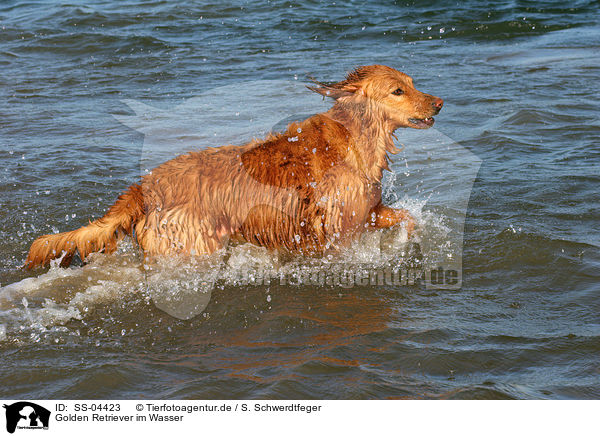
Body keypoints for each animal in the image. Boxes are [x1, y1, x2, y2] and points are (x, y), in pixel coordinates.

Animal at [25, 64, 442, 270]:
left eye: (412, 82)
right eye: (398, 91)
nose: (439, 102)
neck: (357, 136)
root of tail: (143, 187)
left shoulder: (368, 210)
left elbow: (407, 218)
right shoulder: (339, 233)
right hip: (193, 246)